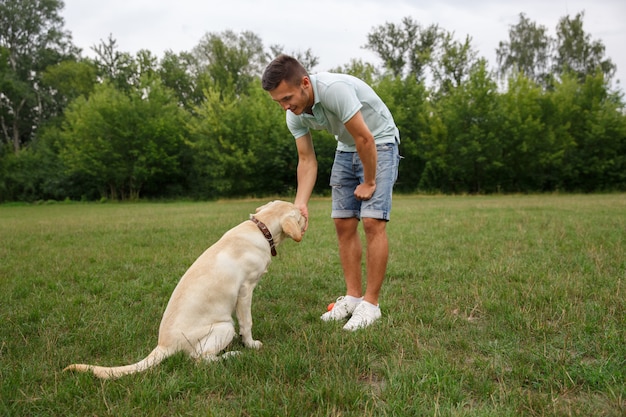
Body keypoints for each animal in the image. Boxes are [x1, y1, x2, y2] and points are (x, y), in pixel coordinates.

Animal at [64, 200, 304, 378]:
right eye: (299, 215)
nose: (304, 211)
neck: (261, 228)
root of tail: (163, 346)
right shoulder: (246, 290)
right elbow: (247, 322)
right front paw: (251, 344)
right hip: (225, 326)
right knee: (199, 360)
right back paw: (233, 355)